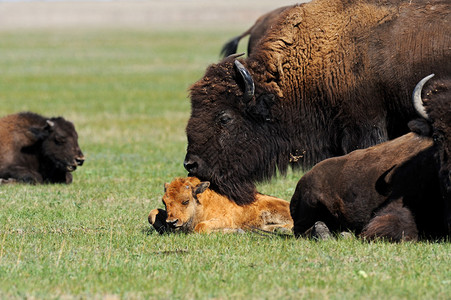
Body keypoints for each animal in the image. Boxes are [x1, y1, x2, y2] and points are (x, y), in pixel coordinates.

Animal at [147, 177, 294, 233]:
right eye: (164, 202)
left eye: (186, 201)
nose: (172, 222)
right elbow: (152, 214)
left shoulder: (226, 219)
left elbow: (201, 227)